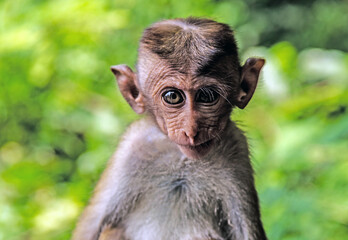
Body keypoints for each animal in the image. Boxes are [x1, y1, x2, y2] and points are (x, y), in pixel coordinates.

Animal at [71, 17, 266, 240]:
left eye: (207, 96)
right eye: (172, 96)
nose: (191, 130)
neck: (183, 158)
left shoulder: (237, 149)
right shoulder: (132, 147)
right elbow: (92, 224)